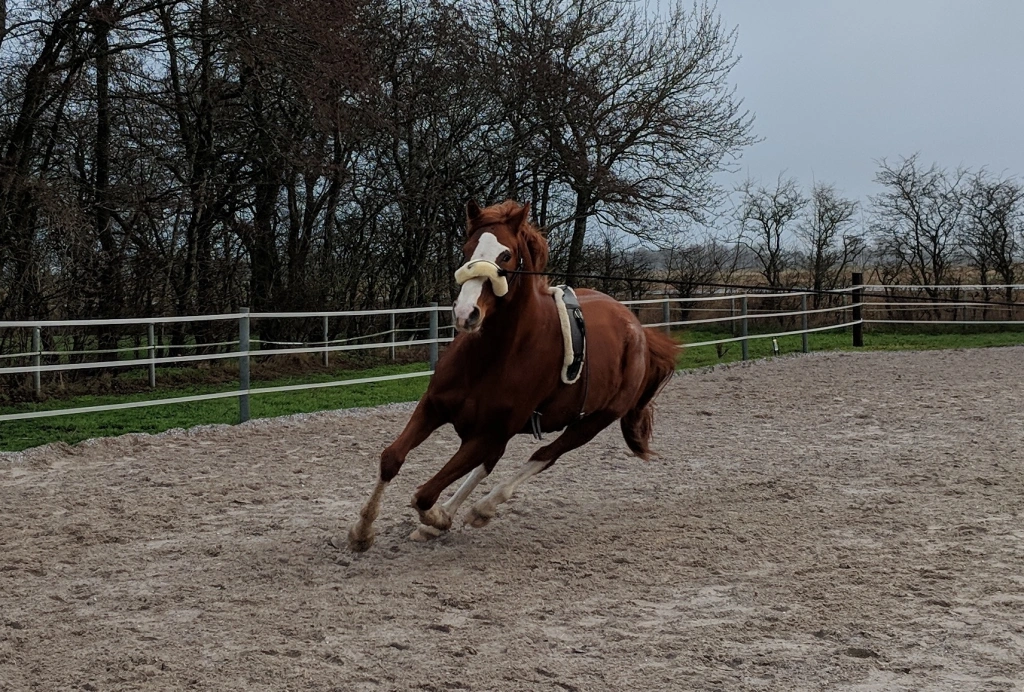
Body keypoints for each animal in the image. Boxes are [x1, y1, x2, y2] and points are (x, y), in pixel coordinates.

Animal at [347, 199, 678, 552]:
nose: (465, 313)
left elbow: (424, 494)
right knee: (490, 464)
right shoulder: (434, 408)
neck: (491, 357)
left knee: (544, 456)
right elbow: (392, 458)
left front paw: (436, 517)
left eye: (505, 256)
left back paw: (481, 509)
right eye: (466, 249)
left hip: (591, 423)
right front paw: (362, 531)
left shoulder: (488, 433)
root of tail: (638, 331)